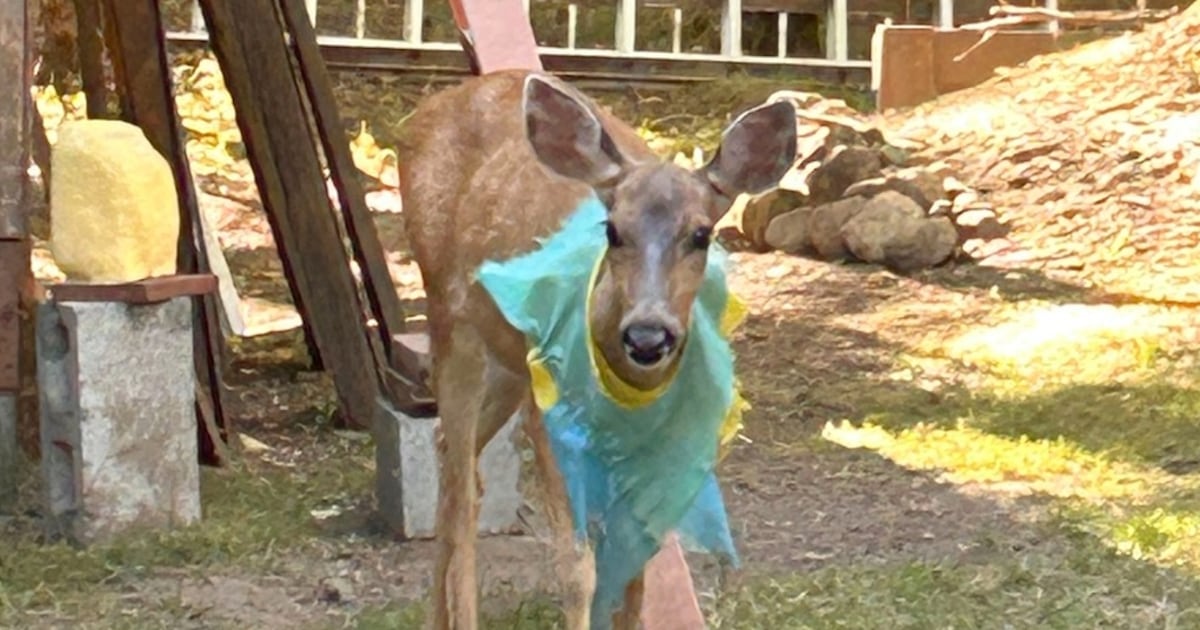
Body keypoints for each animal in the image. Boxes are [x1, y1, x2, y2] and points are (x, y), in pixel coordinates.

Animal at [398, 69, 797, 630]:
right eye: (612, 230)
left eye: (701, 234)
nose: (647, 334)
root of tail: (426, 110)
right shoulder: (551, 414)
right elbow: (577, 565)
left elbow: (638, 565)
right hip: (451, 320)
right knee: (460, 495)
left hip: (509, 363)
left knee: (451, 457)